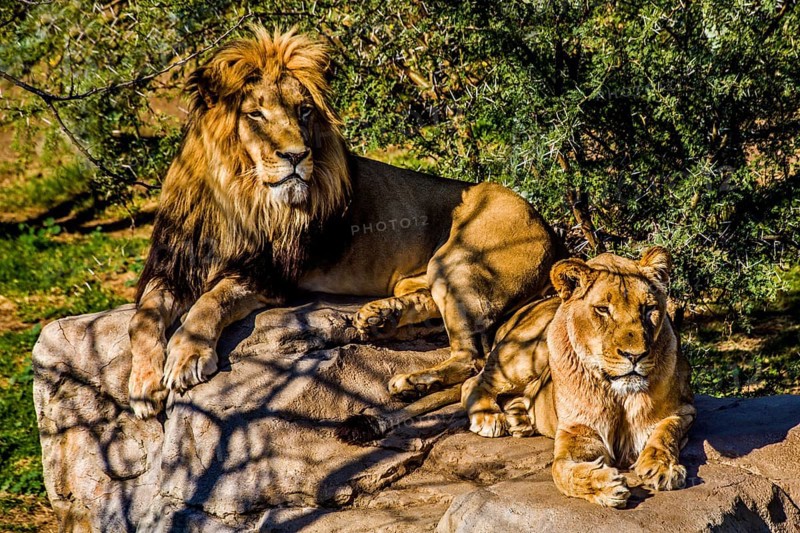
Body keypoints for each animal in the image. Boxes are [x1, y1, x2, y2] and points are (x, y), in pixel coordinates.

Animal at [127, 26, 562, 419]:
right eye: (255, 114)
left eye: (303, 110)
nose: (296, 155)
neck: (234, 194)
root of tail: (551, 230)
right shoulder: (175, 266)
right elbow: (143, 319)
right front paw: (144, 384)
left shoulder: (269, 276)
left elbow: (209, 302)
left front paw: (186, 357)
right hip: (423, 275)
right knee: (430, 306)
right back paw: (381, 319)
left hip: (461, 258)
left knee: (472, 357)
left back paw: (410, 380)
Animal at [338, 248, 695, 509]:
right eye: (603, 310)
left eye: (648, 309)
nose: (635, 355)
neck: (620, 393)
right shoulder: (578, 429)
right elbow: (560, 470)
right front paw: (602, 484)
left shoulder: (684, 410)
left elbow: (665, 434)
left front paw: (661, 467)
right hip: (524, 353)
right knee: (473, 381)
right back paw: (489, 417)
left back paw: (517, 417)